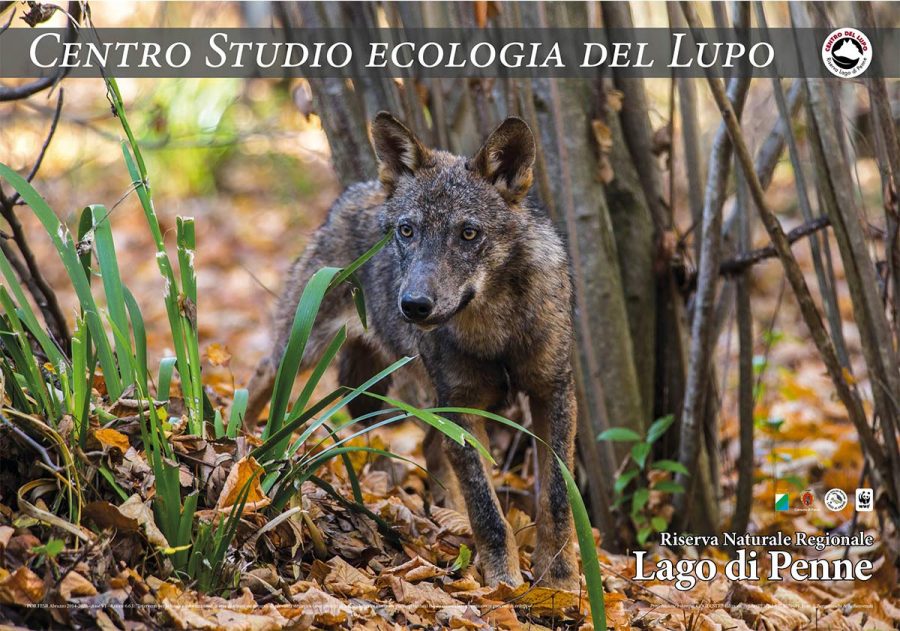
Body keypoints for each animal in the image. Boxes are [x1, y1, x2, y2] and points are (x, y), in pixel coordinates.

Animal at [245, 112, 579, 589]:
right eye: (408, 231)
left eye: (468, 234)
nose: (414, 305)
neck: (495, 330)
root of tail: (359, 188)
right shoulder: (461, 402)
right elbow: (488, 508)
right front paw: (504, 583)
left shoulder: (553, 392)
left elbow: (557, 498)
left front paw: (561, 581)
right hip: (304, 348)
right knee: (261, 376)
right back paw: (240, 445)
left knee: (432, 449)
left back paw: (447, 517)